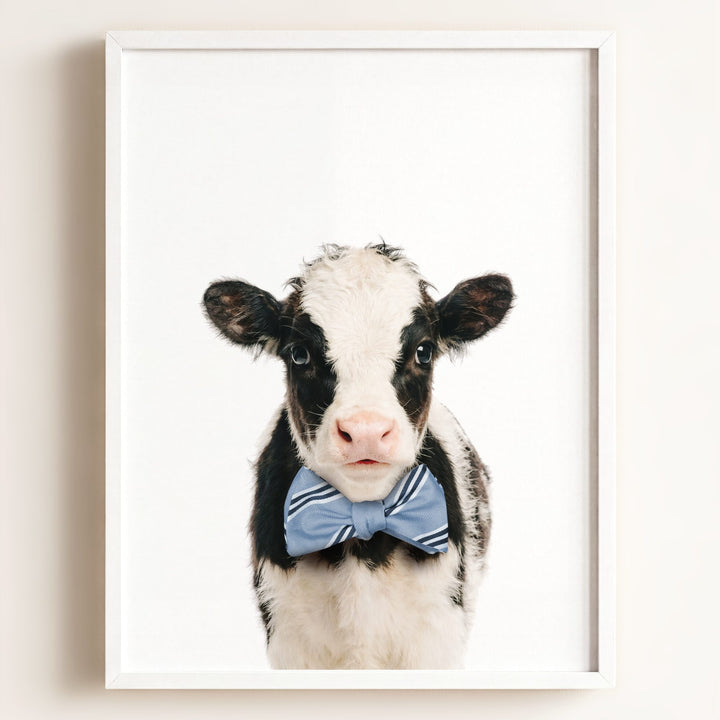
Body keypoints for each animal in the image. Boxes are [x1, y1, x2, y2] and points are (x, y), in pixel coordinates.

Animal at [203, 243, 513, 669]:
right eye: (299, 354)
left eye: (423, 351)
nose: (366, 431)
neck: (362, 544)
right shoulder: (289, 638)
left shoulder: (437, 634)